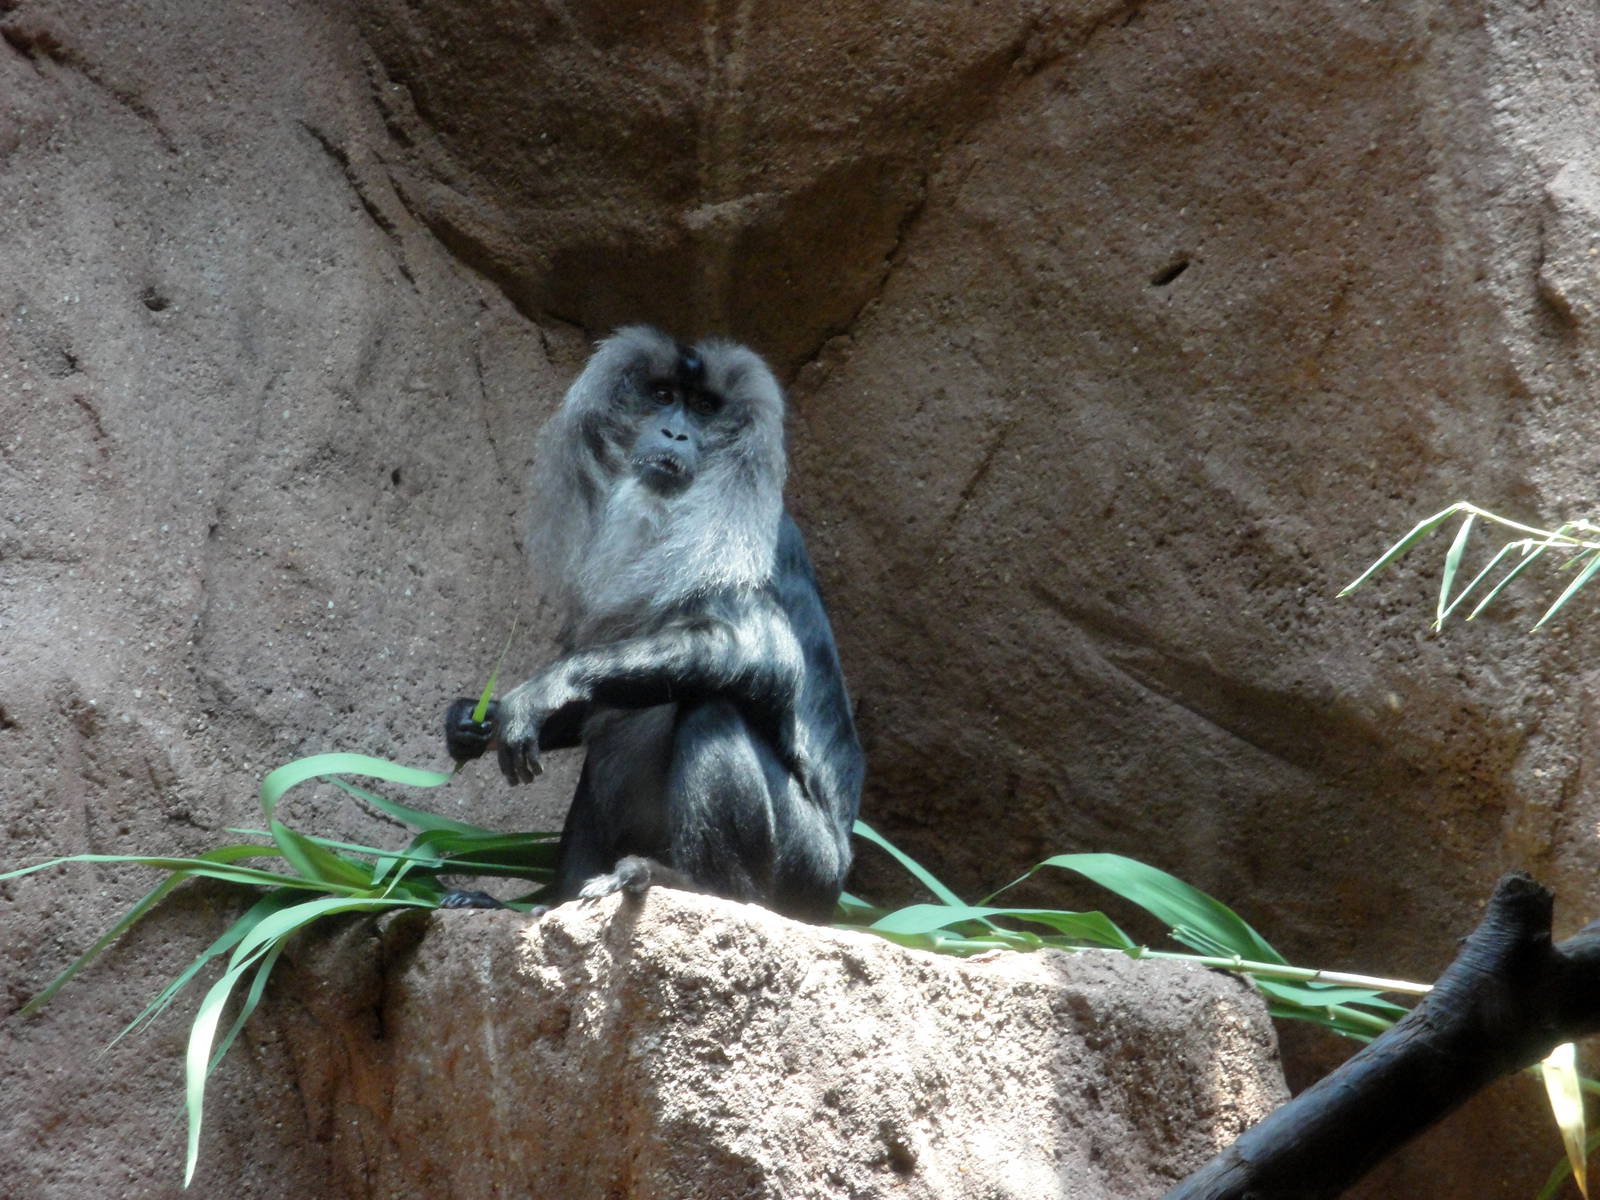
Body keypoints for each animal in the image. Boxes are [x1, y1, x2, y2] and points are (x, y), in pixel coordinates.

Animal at [443, 326, 863, 923]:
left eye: (705, 408)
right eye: (664, 397)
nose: (675, 432)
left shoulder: (744, 545)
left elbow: (762, 651)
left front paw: (541, 691)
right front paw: (473, 720)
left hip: (808, 872)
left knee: (714, 706)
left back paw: (694, 886)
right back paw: (547, 901)